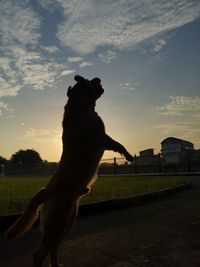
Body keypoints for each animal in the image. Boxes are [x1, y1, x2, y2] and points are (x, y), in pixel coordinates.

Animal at [6, 75, 134, 267]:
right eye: (88, 82)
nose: (98, 78)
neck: (78, 107)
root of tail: (46, 190)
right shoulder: (102, 136)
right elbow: (118, 144)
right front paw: (129, 156)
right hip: (57, 222)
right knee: (39, 254)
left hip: (68, 222)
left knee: (53, 249)